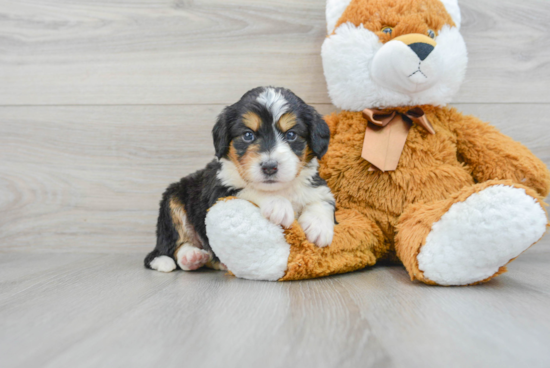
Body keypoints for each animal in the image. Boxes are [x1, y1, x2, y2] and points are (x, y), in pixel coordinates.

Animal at [144, 87, 336, 274]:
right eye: (248, 135)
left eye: (291, 135)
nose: (269, 167)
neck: (280, 189)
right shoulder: (220, 190)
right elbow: (250, 189)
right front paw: (278, 205)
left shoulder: (317, 185)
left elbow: (322, 199)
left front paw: (318, 227)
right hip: (172, 202)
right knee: (171, 246)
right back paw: (186, 257)